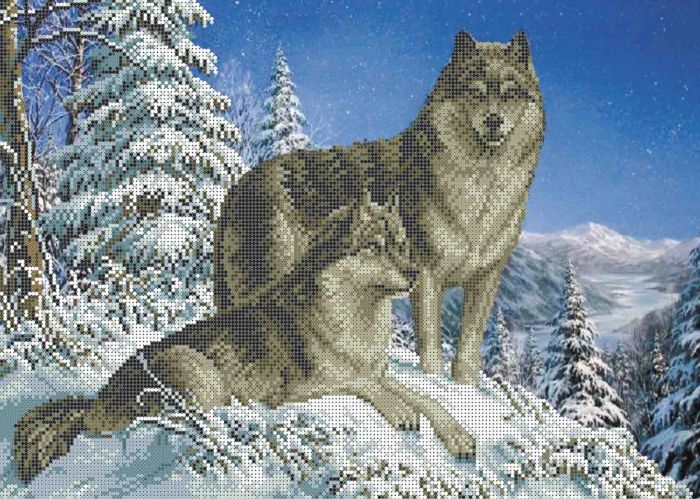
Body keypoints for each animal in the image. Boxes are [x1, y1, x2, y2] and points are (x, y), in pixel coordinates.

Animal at [14, 193, 475, 483]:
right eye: (376, 247)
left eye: (402, 244)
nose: (415, 275)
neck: (355, 319)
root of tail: (94, 402)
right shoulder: (302, 388)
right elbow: (367, 385)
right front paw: (401, 412)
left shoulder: (378, 371)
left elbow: (429, 398)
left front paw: (460, 436)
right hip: (195, 370)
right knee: (181, 422)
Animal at [214, 30, 545, 384]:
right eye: (476, 92)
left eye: (509, 94)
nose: (494, 120)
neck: (480, 189)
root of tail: (236, 187)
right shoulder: (427, 274)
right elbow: (430, 345)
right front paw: (434, 383)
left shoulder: (485, 279)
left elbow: (469, 345)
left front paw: (466, 387)